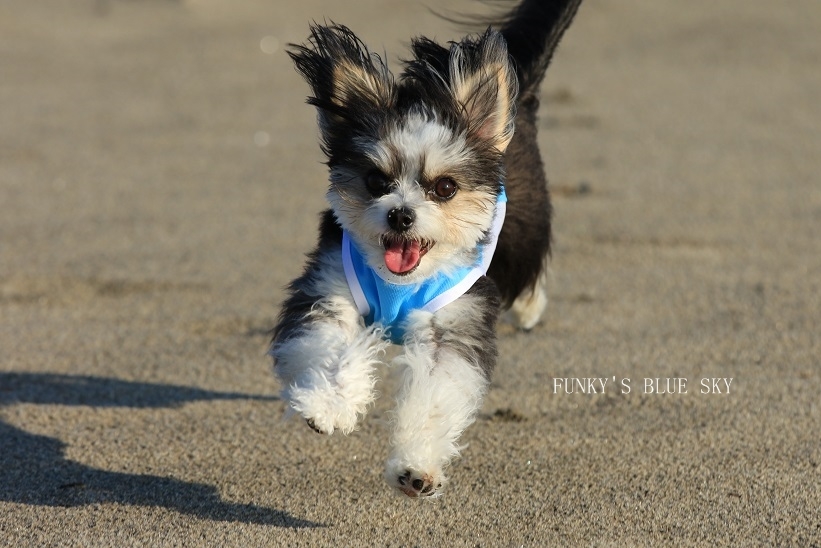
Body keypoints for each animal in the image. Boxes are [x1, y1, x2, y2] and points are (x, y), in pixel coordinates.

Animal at [272, 0, 580, 496]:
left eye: (445, 187)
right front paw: (329, 406)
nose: (401, 214)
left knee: (527, 273)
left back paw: (530, 308)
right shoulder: (331, 289)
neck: (401, 282)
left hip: (528, 231)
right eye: (375, 181)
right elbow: (334, 347)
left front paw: (415, 469)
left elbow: (432, 396)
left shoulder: (453, 326)